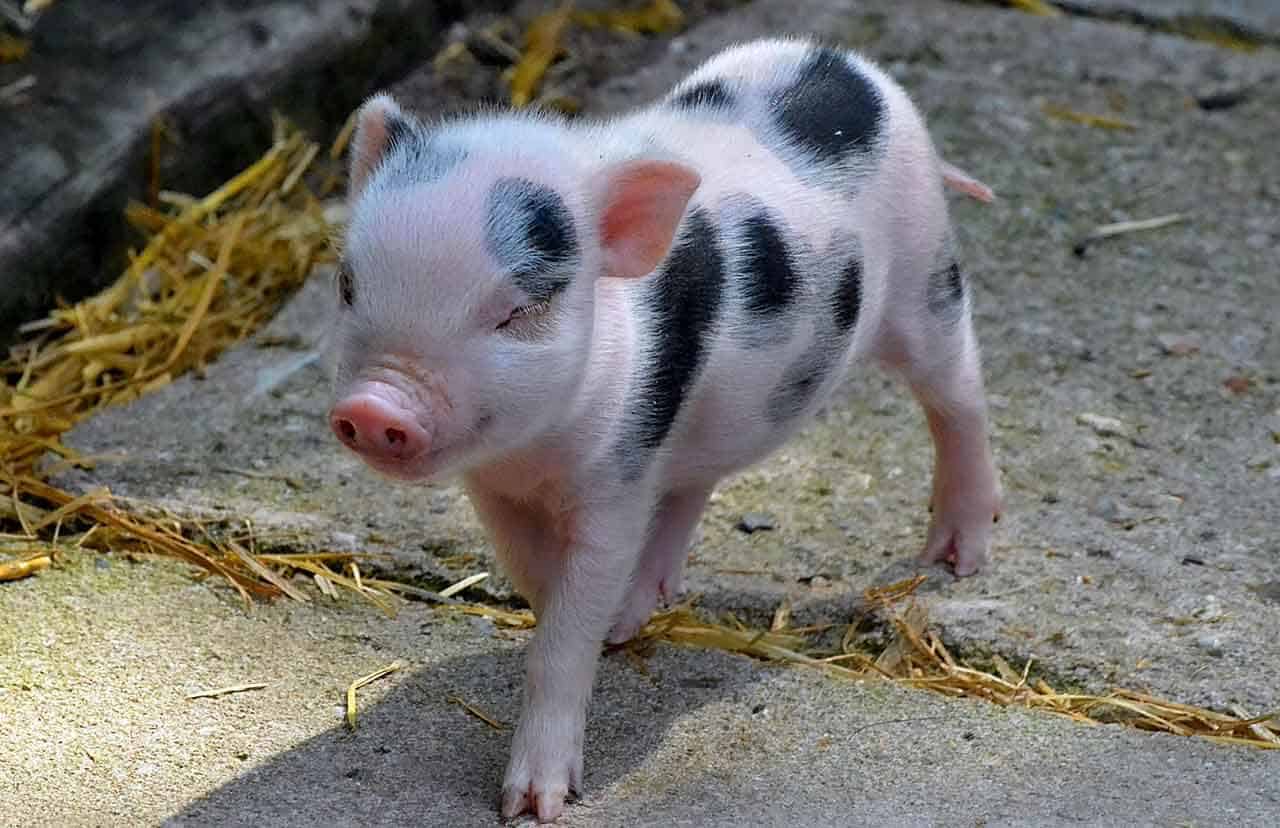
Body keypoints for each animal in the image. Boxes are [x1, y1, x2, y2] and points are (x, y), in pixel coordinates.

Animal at [328, 36, 1002, 822]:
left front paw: (532, 806)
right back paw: (640, 603)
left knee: (959, 394)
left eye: (518, 310)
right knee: (694, 482)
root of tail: (843, 62)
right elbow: (536, 577)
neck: (534, 454)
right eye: (348, 285)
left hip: (927, 274)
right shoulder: (499, 489)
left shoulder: (617, 477)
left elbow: (566, 627)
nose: (375, 407)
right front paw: (606, 623)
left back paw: (956, 557)